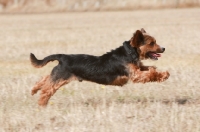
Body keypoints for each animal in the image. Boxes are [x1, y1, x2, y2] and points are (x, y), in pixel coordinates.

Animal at [30, 28, 170, 106]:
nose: (164, 48)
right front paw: (164, 74)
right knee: (47, 89)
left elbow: (150, 68)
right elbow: (150, 73)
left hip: (56, 74)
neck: (129, 52)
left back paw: (34, 89)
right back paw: (42, 104)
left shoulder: (138, 68)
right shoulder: (135, 75)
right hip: (60, 77)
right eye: (152, 43)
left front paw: (163, 74)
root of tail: (63, 57)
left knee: (44, 79)